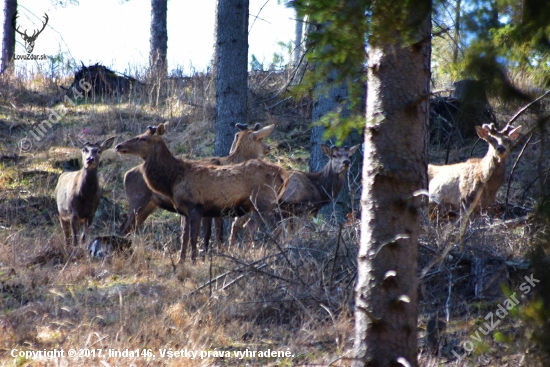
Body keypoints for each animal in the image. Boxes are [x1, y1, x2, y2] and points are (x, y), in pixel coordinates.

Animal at [115, 125, 292, 264]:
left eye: (143, 138)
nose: (118, 145)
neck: (173, 181)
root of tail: (283, 173)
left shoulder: (197, 207)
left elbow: (196, 237)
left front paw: (194, 261)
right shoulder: (185, 211)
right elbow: (185, 238)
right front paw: (181, 261)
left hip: (264, 202)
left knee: (278, 225)